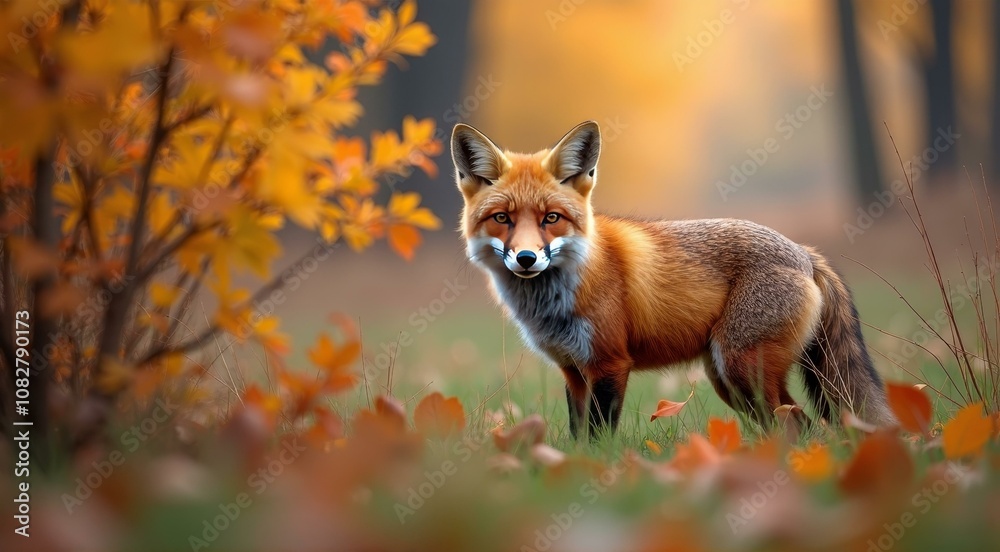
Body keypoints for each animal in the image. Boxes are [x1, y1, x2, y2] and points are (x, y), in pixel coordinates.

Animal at [451, 120, 895, 438]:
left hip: (739, 368)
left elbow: (599, 439)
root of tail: (804, 252)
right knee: (798, 424)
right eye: (503, 218)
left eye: (551, 218)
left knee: (798, 424)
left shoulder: (610, 364)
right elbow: (579, 438)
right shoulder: (574, 372)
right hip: (729, 381)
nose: (526, 259)